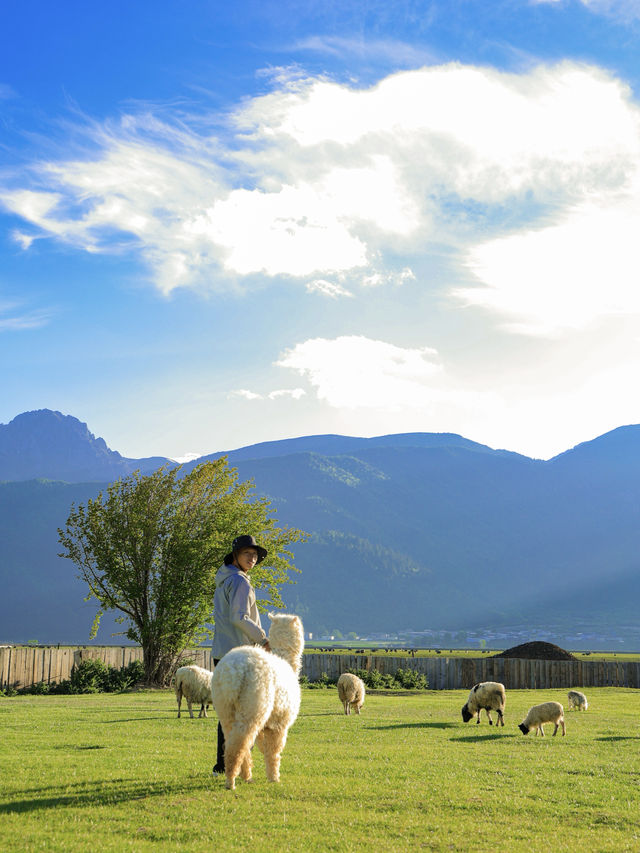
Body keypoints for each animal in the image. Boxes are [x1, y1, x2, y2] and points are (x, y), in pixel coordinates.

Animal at [210, 608, 304, 788]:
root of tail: (233, 671)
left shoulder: (267, 724)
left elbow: (263, 747)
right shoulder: (279, 723)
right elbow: (273, 750)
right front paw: (274, 777)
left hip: (226, 708)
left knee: (234, 741)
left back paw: (246, 775)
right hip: (253, 705)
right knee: (238, 745)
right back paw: (231, 781)